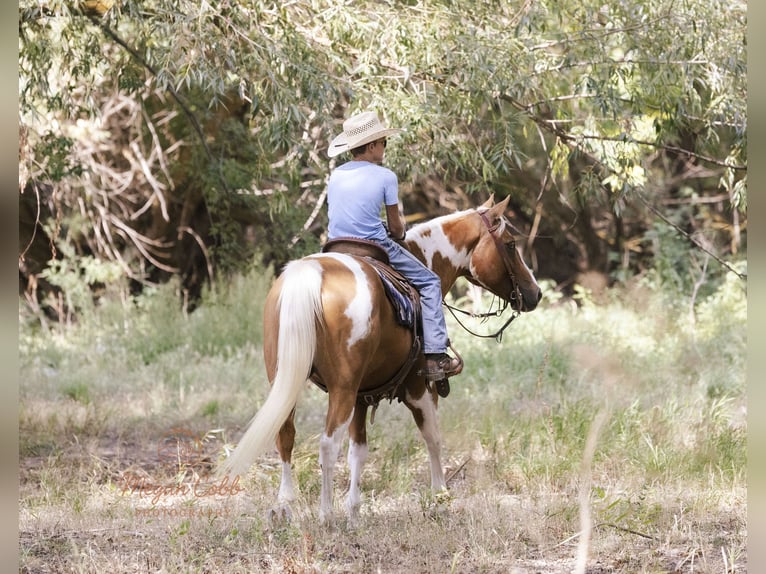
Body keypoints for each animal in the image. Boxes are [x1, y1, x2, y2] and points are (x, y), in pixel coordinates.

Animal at [219, 195, 541, 525]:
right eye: (510, 244)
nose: (535, 293)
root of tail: (309, 274)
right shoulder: (420, 388)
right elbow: (432, 437)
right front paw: (440, 498)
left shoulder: (363, 396)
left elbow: (358, 450)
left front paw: (354, 511)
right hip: (342, 389)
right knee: (327, 444)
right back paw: (325, 514)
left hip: (287, 380)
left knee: (285, 433)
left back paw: (285, 506)